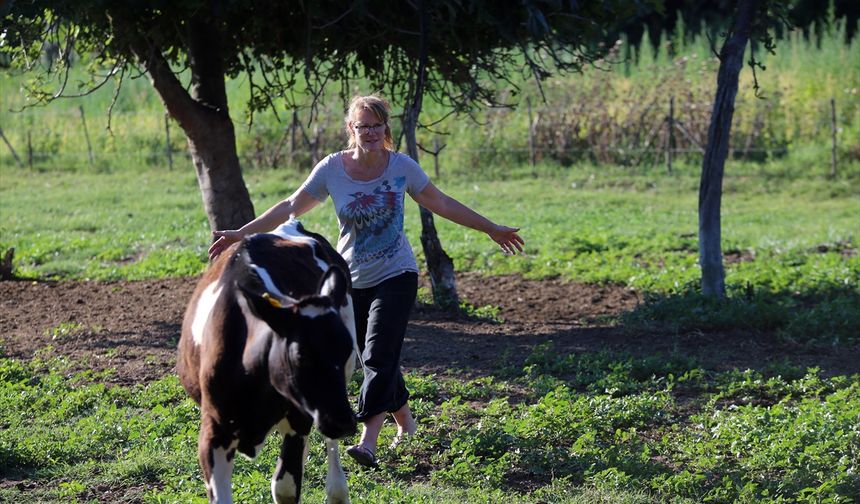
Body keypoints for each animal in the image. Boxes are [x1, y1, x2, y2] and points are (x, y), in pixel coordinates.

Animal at [180, 220, 358, 504]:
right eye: (301, 356)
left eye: (345, 350)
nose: (344, 422)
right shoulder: (214, 430)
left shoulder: (300, 417)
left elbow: (284, 487)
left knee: (329, 443)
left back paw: (337, 491)